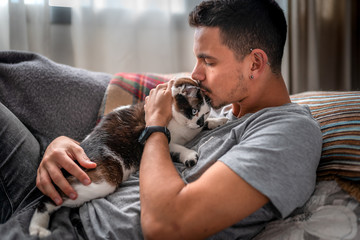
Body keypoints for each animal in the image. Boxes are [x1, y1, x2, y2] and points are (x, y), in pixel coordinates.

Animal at [30, 76, 228, 236]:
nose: (199, 122)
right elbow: (178, 146)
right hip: (102, 182)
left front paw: (217, 121)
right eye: (194, 111)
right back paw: (37, 229)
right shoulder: (160, 138)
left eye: (206, 113)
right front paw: (189, 154)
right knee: (48, 200)